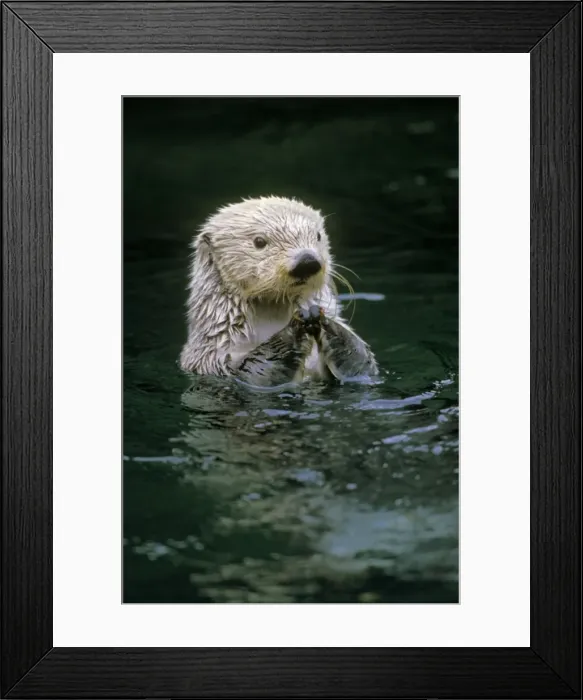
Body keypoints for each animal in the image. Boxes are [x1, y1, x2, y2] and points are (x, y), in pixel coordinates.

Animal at [179, 196, 378, 387]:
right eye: (259, 241)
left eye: (318, 235)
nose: (307, 261)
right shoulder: (212, 355)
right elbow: (251, 371)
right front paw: (294, 329)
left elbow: (363, 363)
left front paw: (325, 322)